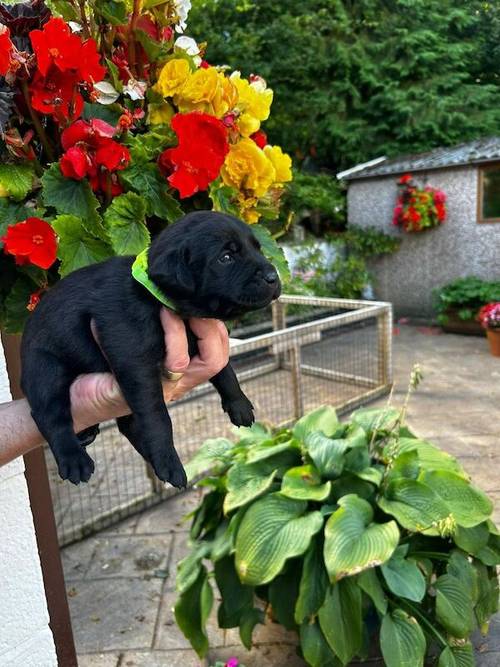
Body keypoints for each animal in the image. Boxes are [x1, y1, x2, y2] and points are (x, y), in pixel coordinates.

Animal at [19, 211, 282, 488]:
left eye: (257, 248)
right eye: (226, 258)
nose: (274, 277)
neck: (156, 297)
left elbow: (224, 369)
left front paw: (238, 403)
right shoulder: (135, 364)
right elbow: (157, 417)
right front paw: (168, 458)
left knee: (126, 424)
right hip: (45, 368)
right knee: (50, 414)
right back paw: (75, 459)